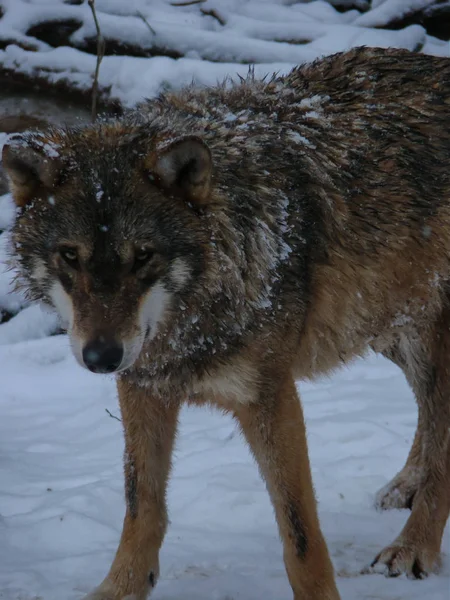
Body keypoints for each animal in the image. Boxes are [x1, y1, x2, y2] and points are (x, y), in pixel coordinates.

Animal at [1, 48, 448, 600]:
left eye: (143, 256)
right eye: (70, 256)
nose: (101, 358)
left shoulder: (269, 398)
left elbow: (300, 532)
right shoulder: (143, 387)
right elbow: (140, 505)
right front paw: (120, 587)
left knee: (442, 439)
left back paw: (414, 546)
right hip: (385, 323)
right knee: (429, 412)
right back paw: (405, 485)